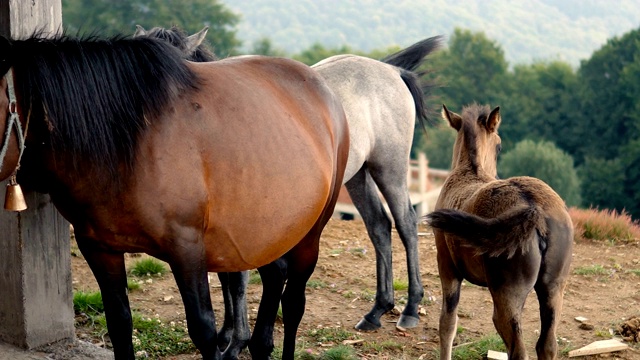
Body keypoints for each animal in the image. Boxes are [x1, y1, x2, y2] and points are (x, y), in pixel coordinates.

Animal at [0, 31, 348, 360]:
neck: (129, 143)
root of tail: (321, 87)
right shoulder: (98, 247)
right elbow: (119, 323)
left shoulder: (187, 246)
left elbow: (204, 329)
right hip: (266, 228)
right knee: (275, 275)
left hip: (310, 233)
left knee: (293, 303)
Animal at [136, 24, 440, 358]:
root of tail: (391, 70)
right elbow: (226, 277)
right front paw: (227, 335)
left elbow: (237, 281)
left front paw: (236, 342)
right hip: (358, 175)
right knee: (379, 226)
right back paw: (376, 310)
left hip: (389, 167)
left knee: (406, 224)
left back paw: (410, 308)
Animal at [428, 104, 572, 360]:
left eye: (499, 145)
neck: (468, 171)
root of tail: (534, 208)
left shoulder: (446, 265)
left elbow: (447, 323)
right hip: (554, 288)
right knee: (547, 345)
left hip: (507, 294)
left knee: (518, 349)